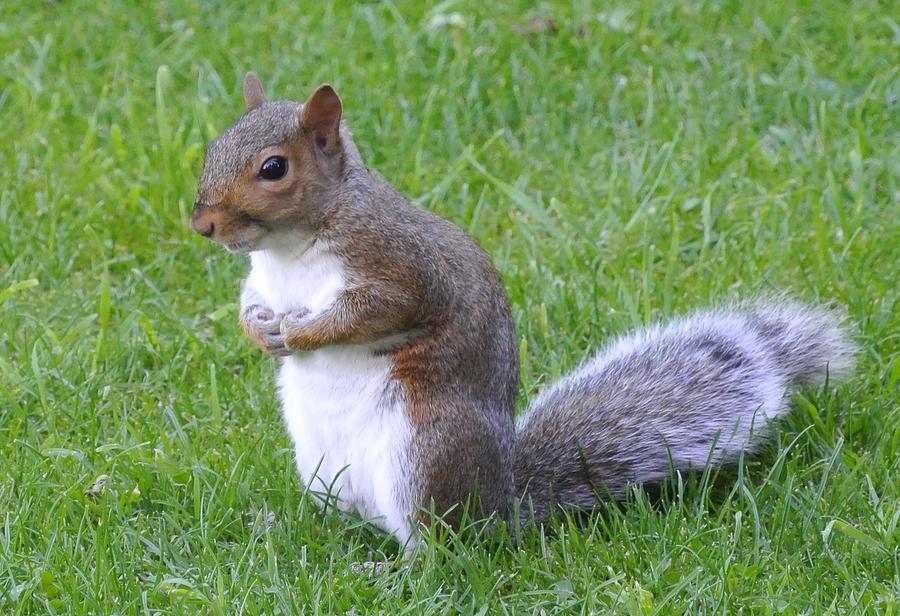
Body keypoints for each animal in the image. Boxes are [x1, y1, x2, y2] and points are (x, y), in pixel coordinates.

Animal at [192, 73, 856, 548]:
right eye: (212, 147)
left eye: (273, 168)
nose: (202, 225)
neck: (290, 250)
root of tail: (500, 507)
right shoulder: (263, 279)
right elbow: (250, 302)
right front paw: (259, 331)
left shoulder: (399, 268)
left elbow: (373, 312)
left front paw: (303, 335)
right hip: (325, 471)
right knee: (354, 520)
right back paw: (294, 531)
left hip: (423, 454)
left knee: (439, 545)